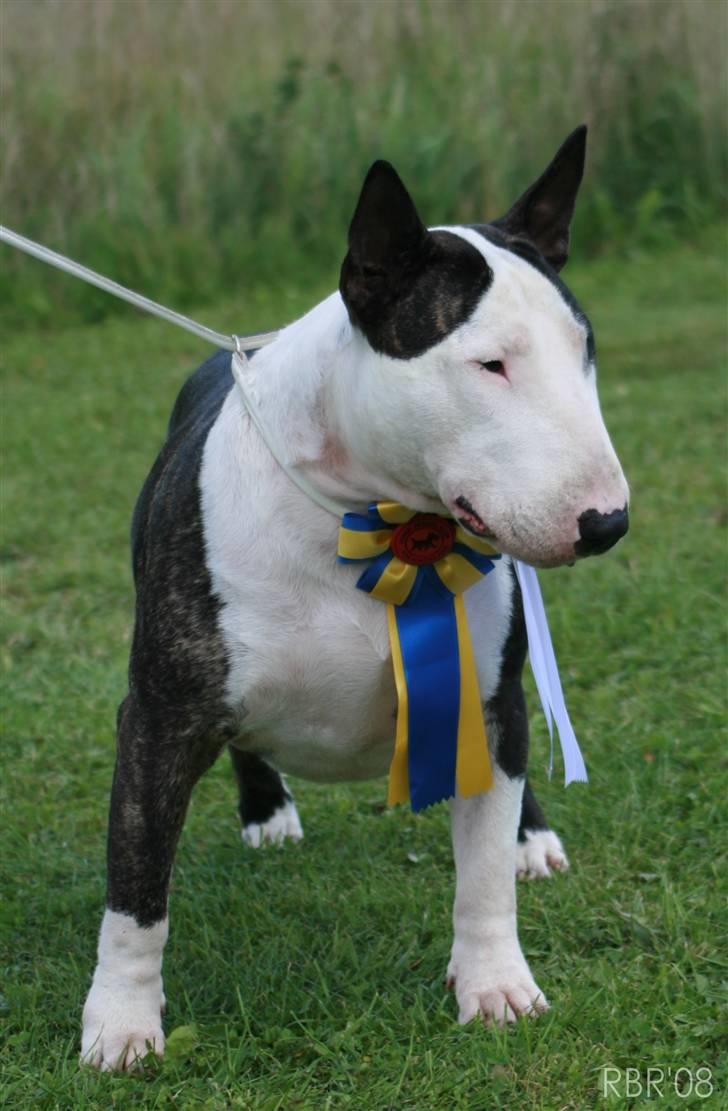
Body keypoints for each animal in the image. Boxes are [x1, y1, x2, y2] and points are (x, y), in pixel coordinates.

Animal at [78, 126, 626, 1071]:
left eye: (583, 347)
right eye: (489, 363)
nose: (607, 521)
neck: (369, 519)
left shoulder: (484, 698)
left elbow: (482, 868)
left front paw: (496, 984)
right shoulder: (159, 712)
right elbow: (137, 884)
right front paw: (120, 1021)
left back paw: (532, 836)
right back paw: (266, 810)